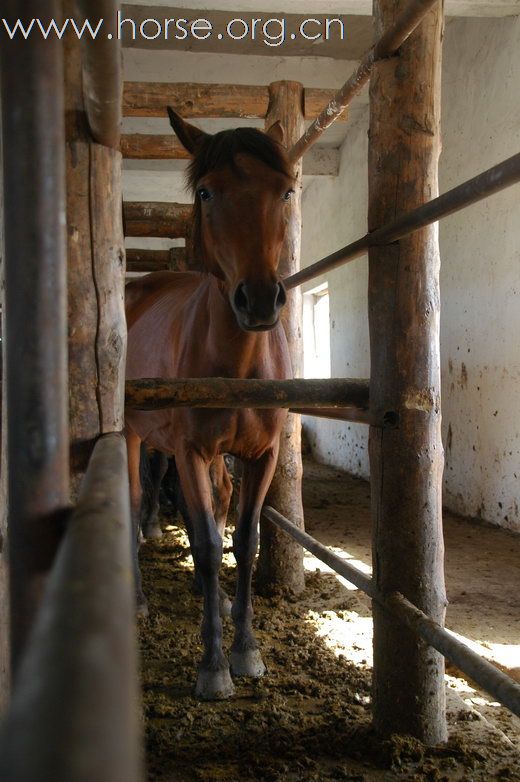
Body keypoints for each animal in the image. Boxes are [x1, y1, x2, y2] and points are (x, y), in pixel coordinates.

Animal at [125, 108, 296, 700]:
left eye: (286, 191)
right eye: (206, 191)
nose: (260, 300)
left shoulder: (261, 456)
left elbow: (244, 541)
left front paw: (246, 649)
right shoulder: (190, 453)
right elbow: (201, 541)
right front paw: (214, 664)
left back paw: (214, 595)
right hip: (133, 435)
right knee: (135, 499)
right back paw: (138, 599)